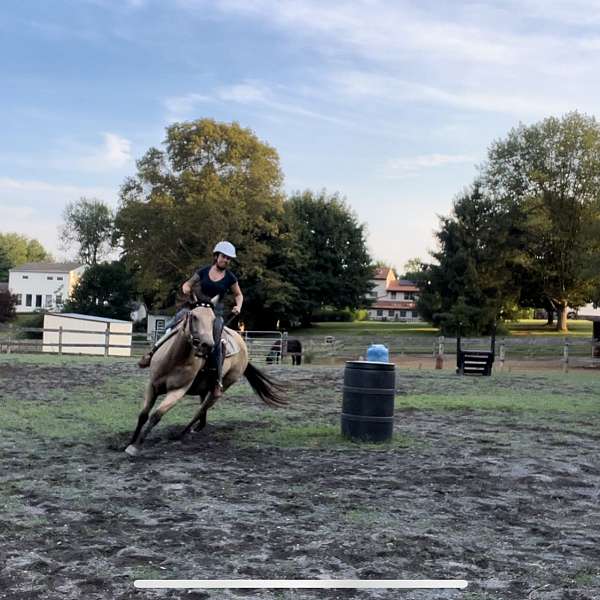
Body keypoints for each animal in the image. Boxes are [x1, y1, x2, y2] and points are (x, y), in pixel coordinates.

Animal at [123, 298, 288, 458]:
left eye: (213, 320)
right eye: (194, 316)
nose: (207, 345)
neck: (174, 359)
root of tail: (242, 344)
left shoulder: (177, 391)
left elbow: (156, 416)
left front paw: (135, 447)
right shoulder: (152, 385)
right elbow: (143, 415)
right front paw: (129, 442)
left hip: (223, 386)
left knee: (201, 409)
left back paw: (181, 434)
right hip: (204, 386)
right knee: (202, 409)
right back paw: (196, 428)